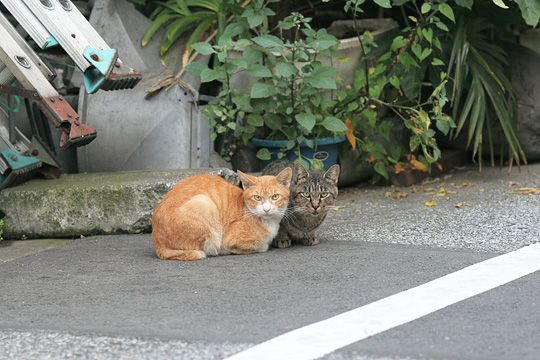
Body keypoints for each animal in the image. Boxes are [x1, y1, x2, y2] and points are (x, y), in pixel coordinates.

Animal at [150, 169, 294, 262]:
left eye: (275, 197)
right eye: (257, 197)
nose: (266, 209)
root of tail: (157, 243)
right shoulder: (232, 240)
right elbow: (262, 246)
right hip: (205, 203)